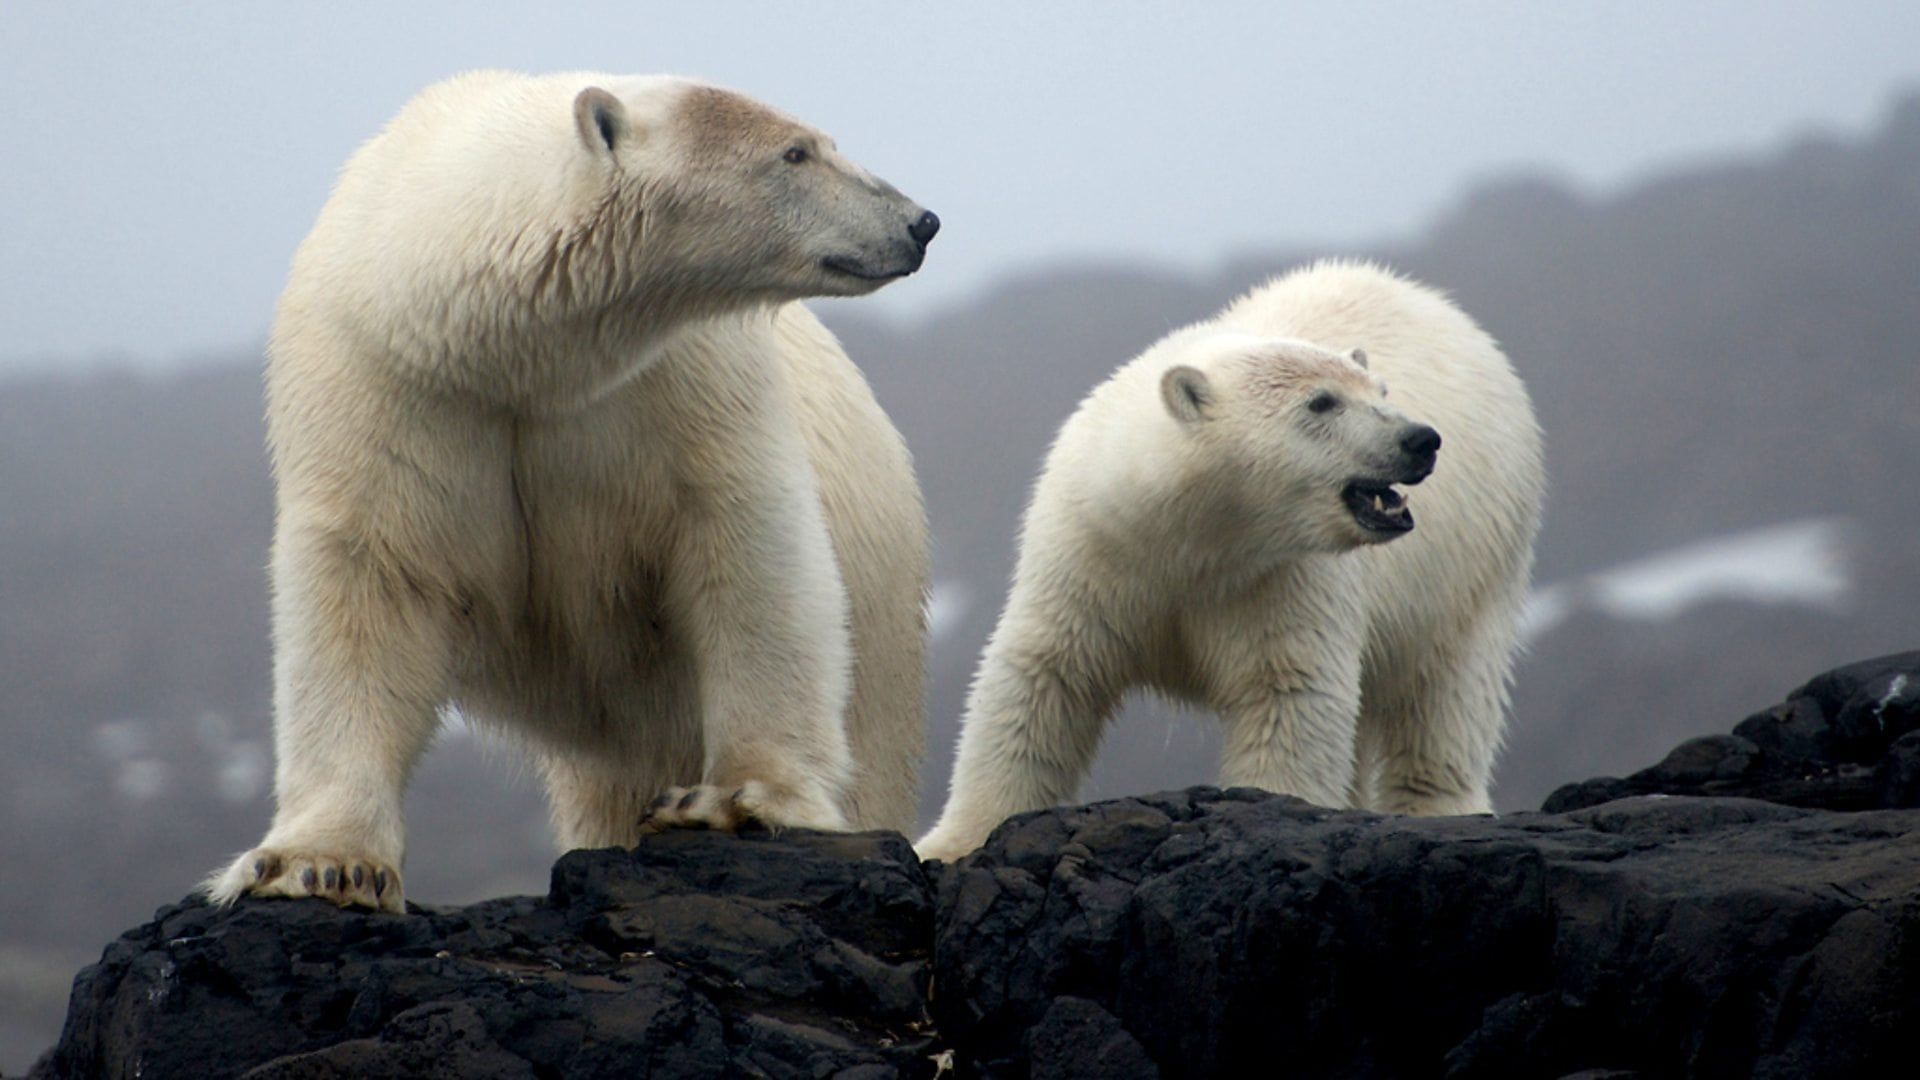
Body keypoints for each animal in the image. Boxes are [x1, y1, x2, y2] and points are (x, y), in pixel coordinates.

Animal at [202, 67, 936, 907]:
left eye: (816, 142)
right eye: (795, 153)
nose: (920, 222)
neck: (511, 352)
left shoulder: (687, 381)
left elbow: (746, 546)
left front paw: (735, 798)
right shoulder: (386, 386)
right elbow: (369, 584)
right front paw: (320, 865)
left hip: (884, 622)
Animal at [917, 261, 1543, 857]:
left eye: (1382, 391)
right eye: (1322, 401)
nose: (1420, 439)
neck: (1196, 538)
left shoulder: (1284, 577)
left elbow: (1289, 691)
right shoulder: (1092, 553)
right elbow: (1041, 677)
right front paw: (951, 842)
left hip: (1478, 558)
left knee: (1447, 688)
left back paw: (1436, 806)